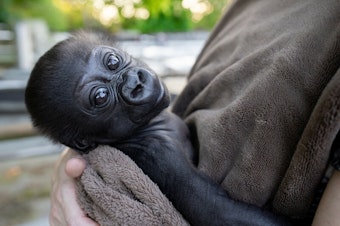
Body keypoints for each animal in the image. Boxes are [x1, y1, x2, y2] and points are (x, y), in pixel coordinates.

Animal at [24, 32, 290, 225]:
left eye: (113, 62)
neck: (149, 126)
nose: (135, 83)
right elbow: (215, 210)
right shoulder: (159, 154)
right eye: (100, 97)